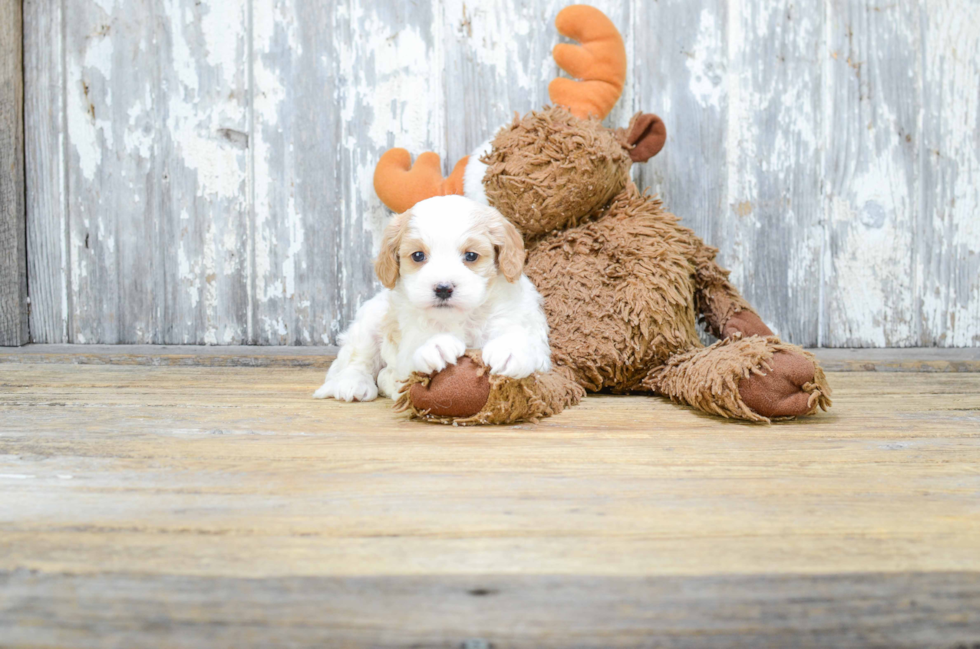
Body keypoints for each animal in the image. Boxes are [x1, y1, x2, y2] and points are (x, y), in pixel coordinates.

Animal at [318, 195, 556, 402]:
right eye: (418, 256)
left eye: (471, 256)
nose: (443, 288)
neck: (462, 317)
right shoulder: (405, 342)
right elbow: (412, 355)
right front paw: (436, 346)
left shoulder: (523, 324)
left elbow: (523, 339)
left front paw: (509, 350)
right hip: (369, 323)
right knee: (357, 360)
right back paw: (354, 384)